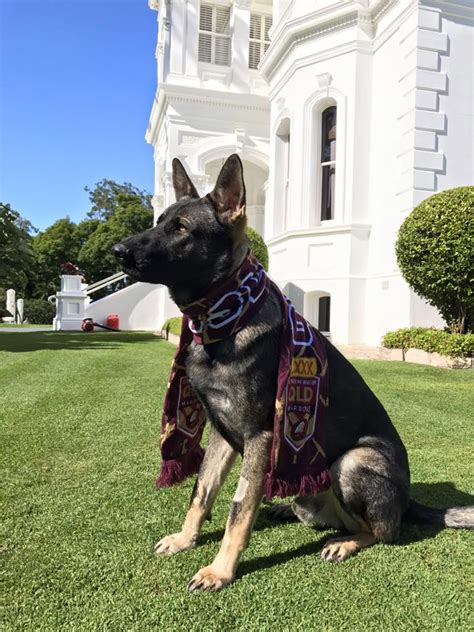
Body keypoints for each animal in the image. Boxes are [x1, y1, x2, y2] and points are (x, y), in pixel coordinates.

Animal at [113, 153, 472, 592]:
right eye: (159, 220)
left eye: (181, 228)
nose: (117, 252)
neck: (226, 314)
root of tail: (406, 501)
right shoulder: (221, 433)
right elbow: (201, 491)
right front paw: (186, 539)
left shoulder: (259, 436)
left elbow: (238, 509)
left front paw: (220, 570)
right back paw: (287, 509)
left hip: (352, 462)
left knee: (381, 532)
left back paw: (345, 542)